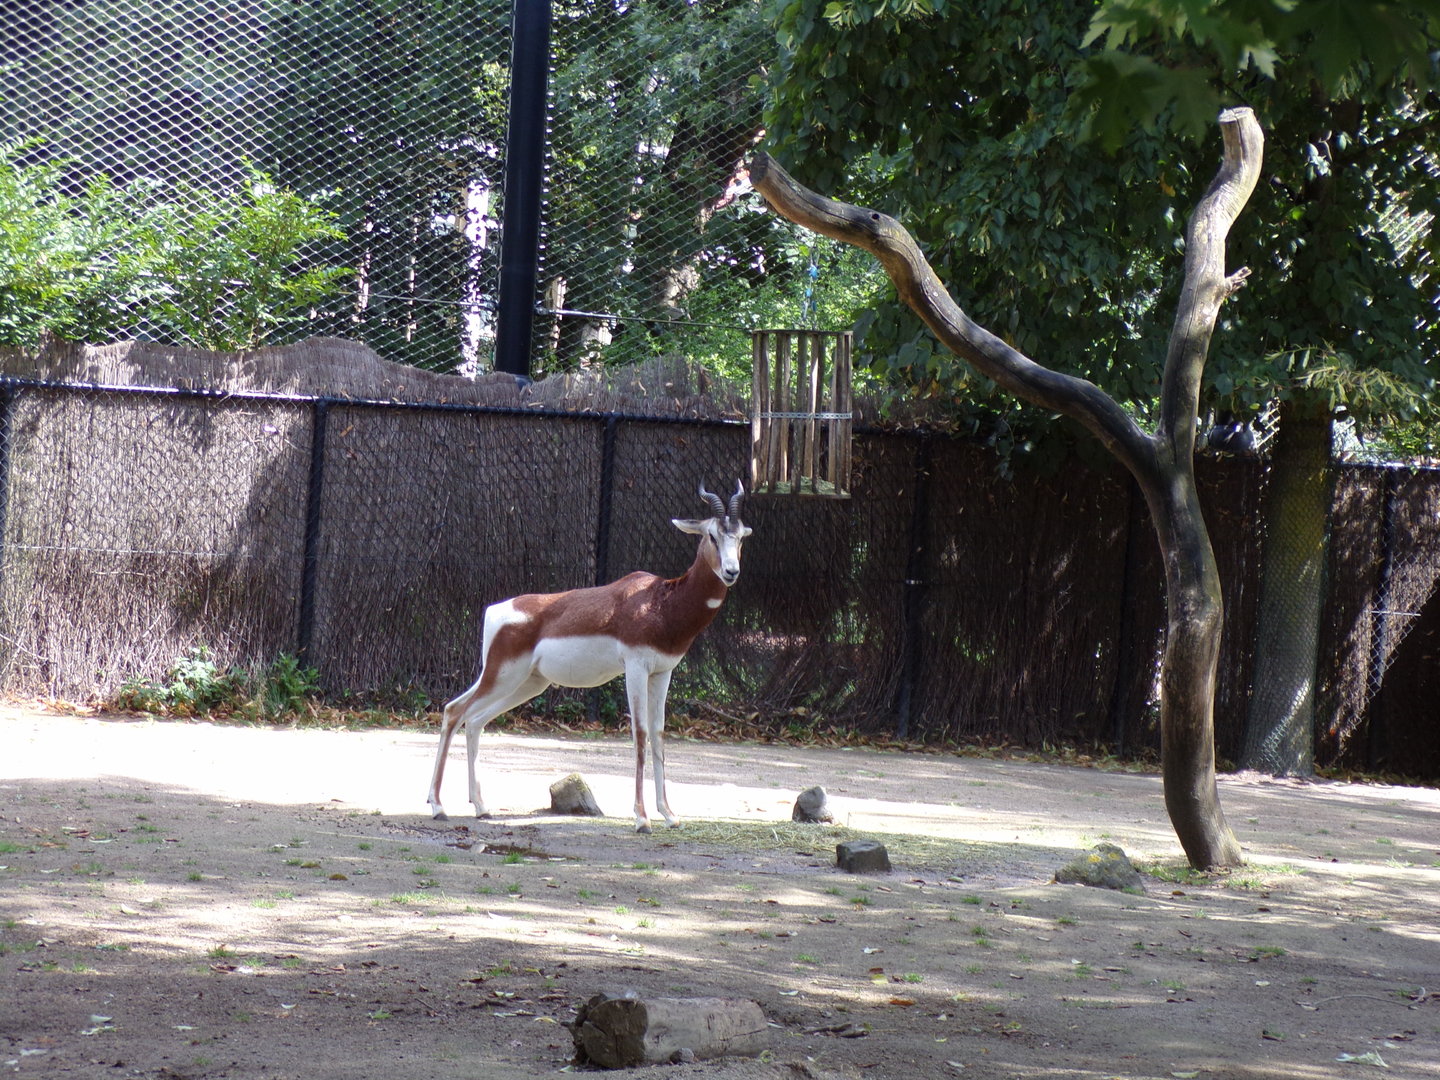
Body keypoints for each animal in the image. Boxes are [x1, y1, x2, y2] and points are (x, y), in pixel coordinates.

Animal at [427, 481, 752, 833]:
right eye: (712, 535)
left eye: (740, 537)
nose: (731, 572)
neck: (661, 603)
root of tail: (496, 611)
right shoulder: (635, 667)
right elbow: (640, 733)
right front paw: (641, 818)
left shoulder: (662, 672)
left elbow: (659, 734)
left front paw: (668, 814)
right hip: (503, 675)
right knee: (457, 712)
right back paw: (438, 807)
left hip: (524, 682)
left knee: (471, 718)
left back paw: (481, 807)